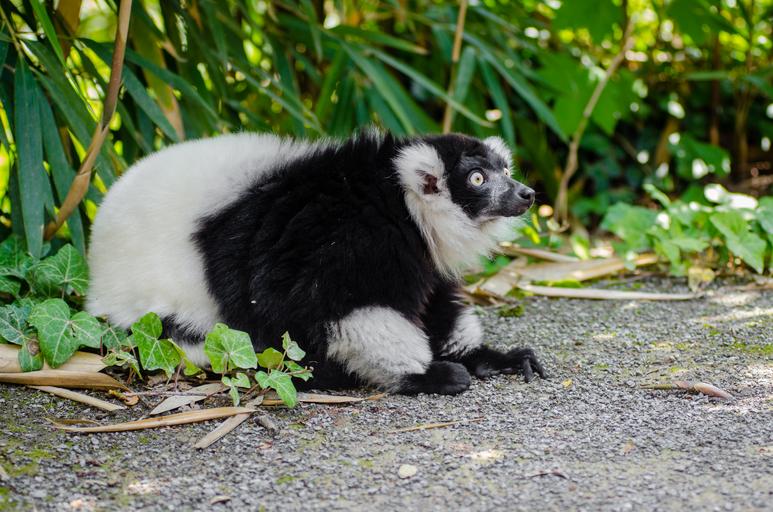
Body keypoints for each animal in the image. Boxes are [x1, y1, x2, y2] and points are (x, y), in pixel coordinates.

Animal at [87, 130, 546, 395]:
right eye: (477, 179)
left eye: (505, 169)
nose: (526, 193)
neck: (397, 203)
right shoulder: (345, 242)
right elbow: (328, 309)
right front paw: (425, 375)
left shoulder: (411, 252)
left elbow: (434, 303)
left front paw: (486, 357)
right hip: (151, 311)